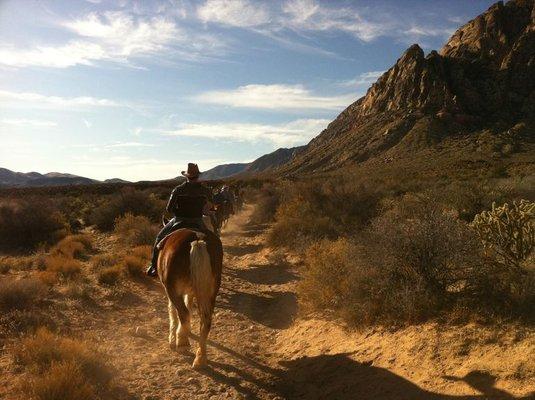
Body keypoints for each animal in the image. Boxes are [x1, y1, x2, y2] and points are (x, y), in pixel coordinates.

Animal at [156, 228, 223, 368]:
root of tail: (197, 241)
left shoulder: (171, 290)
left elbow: (173, 312)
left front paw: (173, 338)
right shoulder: (190, 291)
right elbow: (189, 304)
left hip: (173, 290)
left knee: (183, 313)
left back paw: (182, 342)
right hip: (211, 291)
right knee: (205, 320)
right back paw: (200, 358)